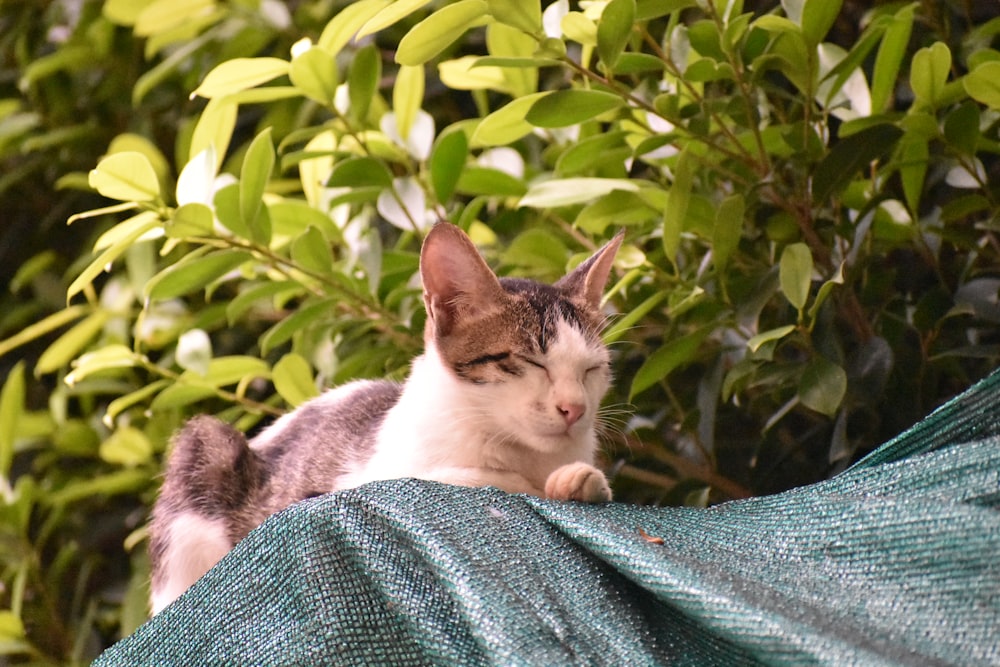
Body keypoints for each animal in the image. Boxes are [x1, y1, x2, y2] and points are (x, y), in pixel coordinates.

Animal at [148, 223, 620, 616]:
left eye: (592, 369)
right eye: (531, 362)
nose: (575, 408)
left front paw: (581, 480)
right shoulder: (367, 481)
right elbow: (479, 479)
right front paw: (540, 483)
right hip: (205, 450)